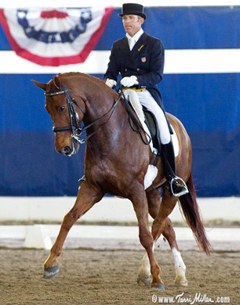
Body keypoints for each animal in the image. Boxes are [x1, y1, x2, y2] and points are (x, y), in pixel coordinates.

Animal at [33, 72, 210, 290]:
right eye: (47, 109)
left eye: (61, 107)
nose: (63, 148)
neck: (111, 135)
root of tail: (180, 127)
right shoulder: (92, 188)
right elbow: (69, 218)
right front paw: (50, 264)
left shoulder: (136, 191)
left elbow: (145, 235)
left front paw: (157, 278)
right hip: (151, 194)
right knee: (166, 227)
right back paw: (178, 274)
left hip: (170, 192)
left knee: (156, 227)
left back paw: (150, 272)